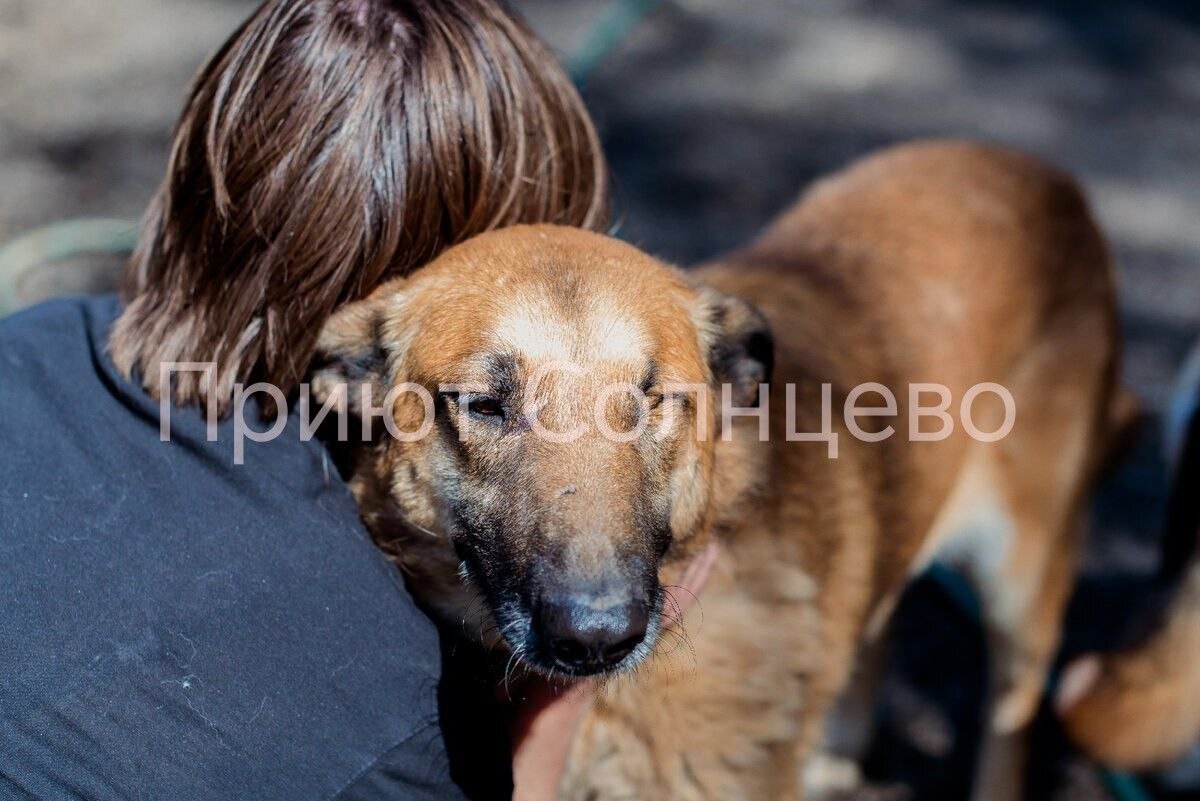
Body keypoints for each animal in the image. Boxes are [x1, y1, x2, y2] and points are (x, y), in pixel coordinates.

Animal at [314, 140, 1118, 796]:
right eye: (484, 405)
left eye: (652, 400)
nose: (597, 635)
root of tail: (1048, 175)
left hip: (1022, 584)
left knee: (1009, 717)